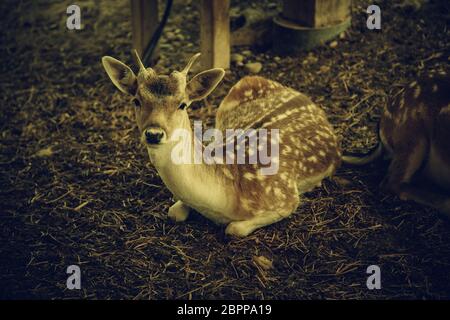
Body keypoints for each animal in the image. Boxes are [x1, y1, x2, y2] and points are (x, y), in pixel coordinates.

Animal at [102, 52, 342, 238]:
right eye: (136, 100)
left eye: (182, 104)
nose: (153, 134)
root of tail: (302, 96)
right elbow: (174, 212)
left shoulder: (285, 197)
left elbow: (234, 229)